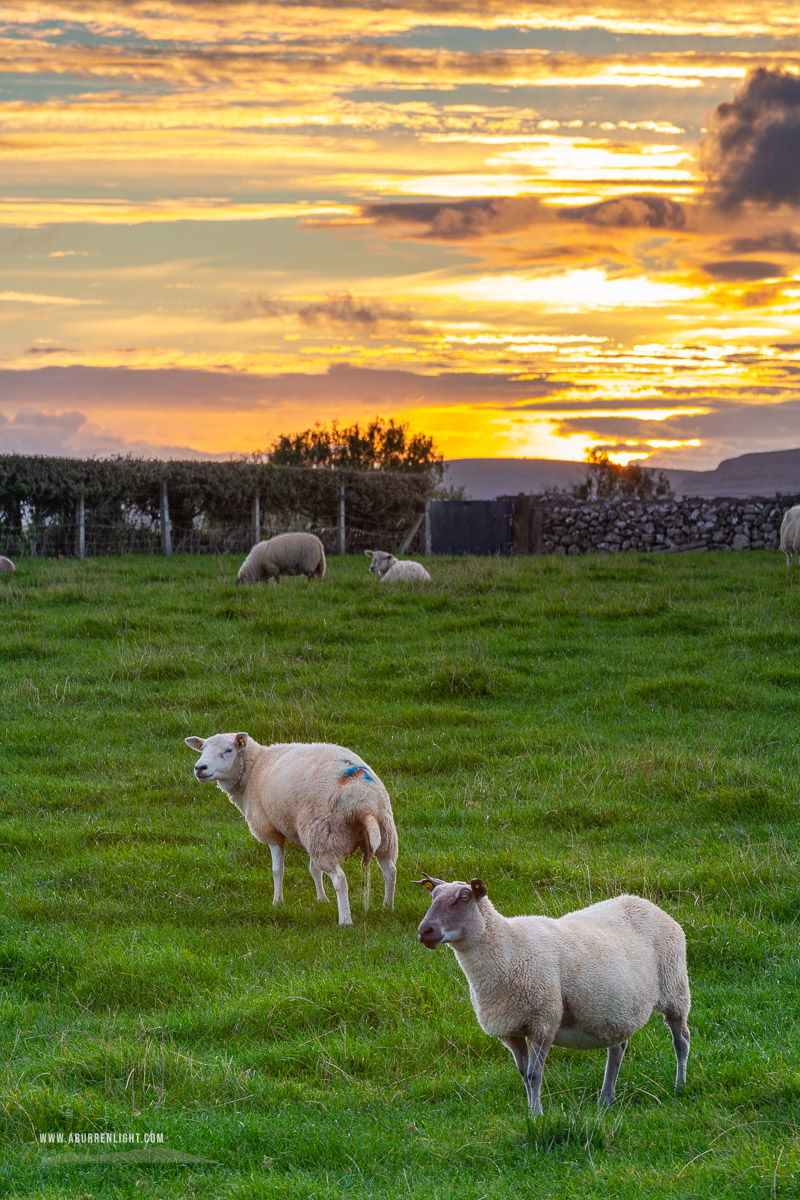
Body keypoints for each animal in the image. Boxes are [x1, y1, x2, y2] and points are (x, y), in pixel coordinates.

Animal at [183, 724, 398, 921]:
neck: (255, 768)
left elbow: (277, 870)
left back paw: (345, 920)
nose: (200, 768)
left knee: (340, 879)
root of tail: (363, 801)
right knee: (390, 871)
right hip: (378, 832)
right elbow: (314, 869)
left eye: (228, 750)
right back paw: (387, 907)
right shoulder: (307, 833)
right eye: (202, 748)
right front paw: (322, 899)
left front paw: (277, 902)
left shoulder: (271, 830)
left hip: (326, 834)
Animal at [419, 873, 690, 1113]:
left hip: (674, 987)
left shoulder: (543, 1022)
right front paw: (530, 1111)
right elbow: (523, 1074)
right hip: (614, 1009)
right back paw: (605, 1098)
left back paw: (680, 1086)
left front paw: (537, 1115)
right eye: (432, 896)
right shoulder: (510, 1029)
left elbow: (533, 1073)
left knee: (681, 1040)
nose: (425, 931)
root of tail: (643, 902)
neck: (508, 948)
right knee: (617, 1048)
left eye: (464, 897)